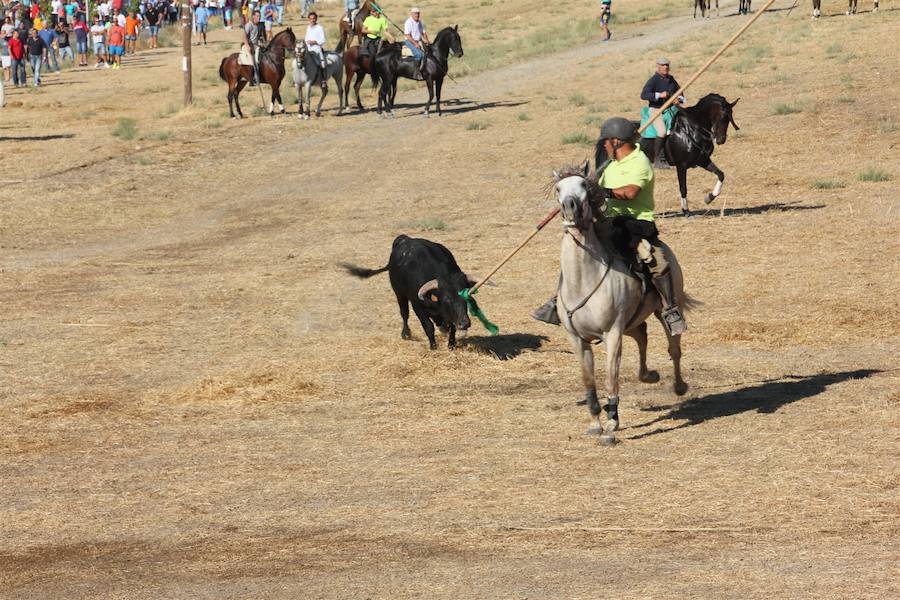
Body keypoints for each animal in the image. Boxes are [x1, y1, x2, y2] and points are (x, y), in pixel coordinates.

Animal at [340, 232, 482, 350]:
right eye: (447, 299)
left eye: (467, 297)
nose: (465, 323)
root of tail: (405, 238)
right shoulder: (418, 307)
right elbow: (428, 326)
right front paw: (433, 346)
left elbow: (451, 326)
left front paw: (451, 344)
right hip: (399, 295)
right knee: (404, 314)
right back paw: (406, 333)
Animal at [552, 162, 692, 442]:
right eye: (558, 189)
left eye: (583, 185)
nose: (570, 207)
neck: (583, 279)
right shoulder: (577, 339)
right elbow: (589, 381)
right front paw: (595, 422)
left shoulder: (612, 334)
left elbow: (610, 379)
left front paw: (611, 425)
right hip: (631, 321)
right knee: (642, 335)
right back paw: (648, 375)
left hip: (666, 308)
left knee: (674, 348)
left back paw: (679, 386)